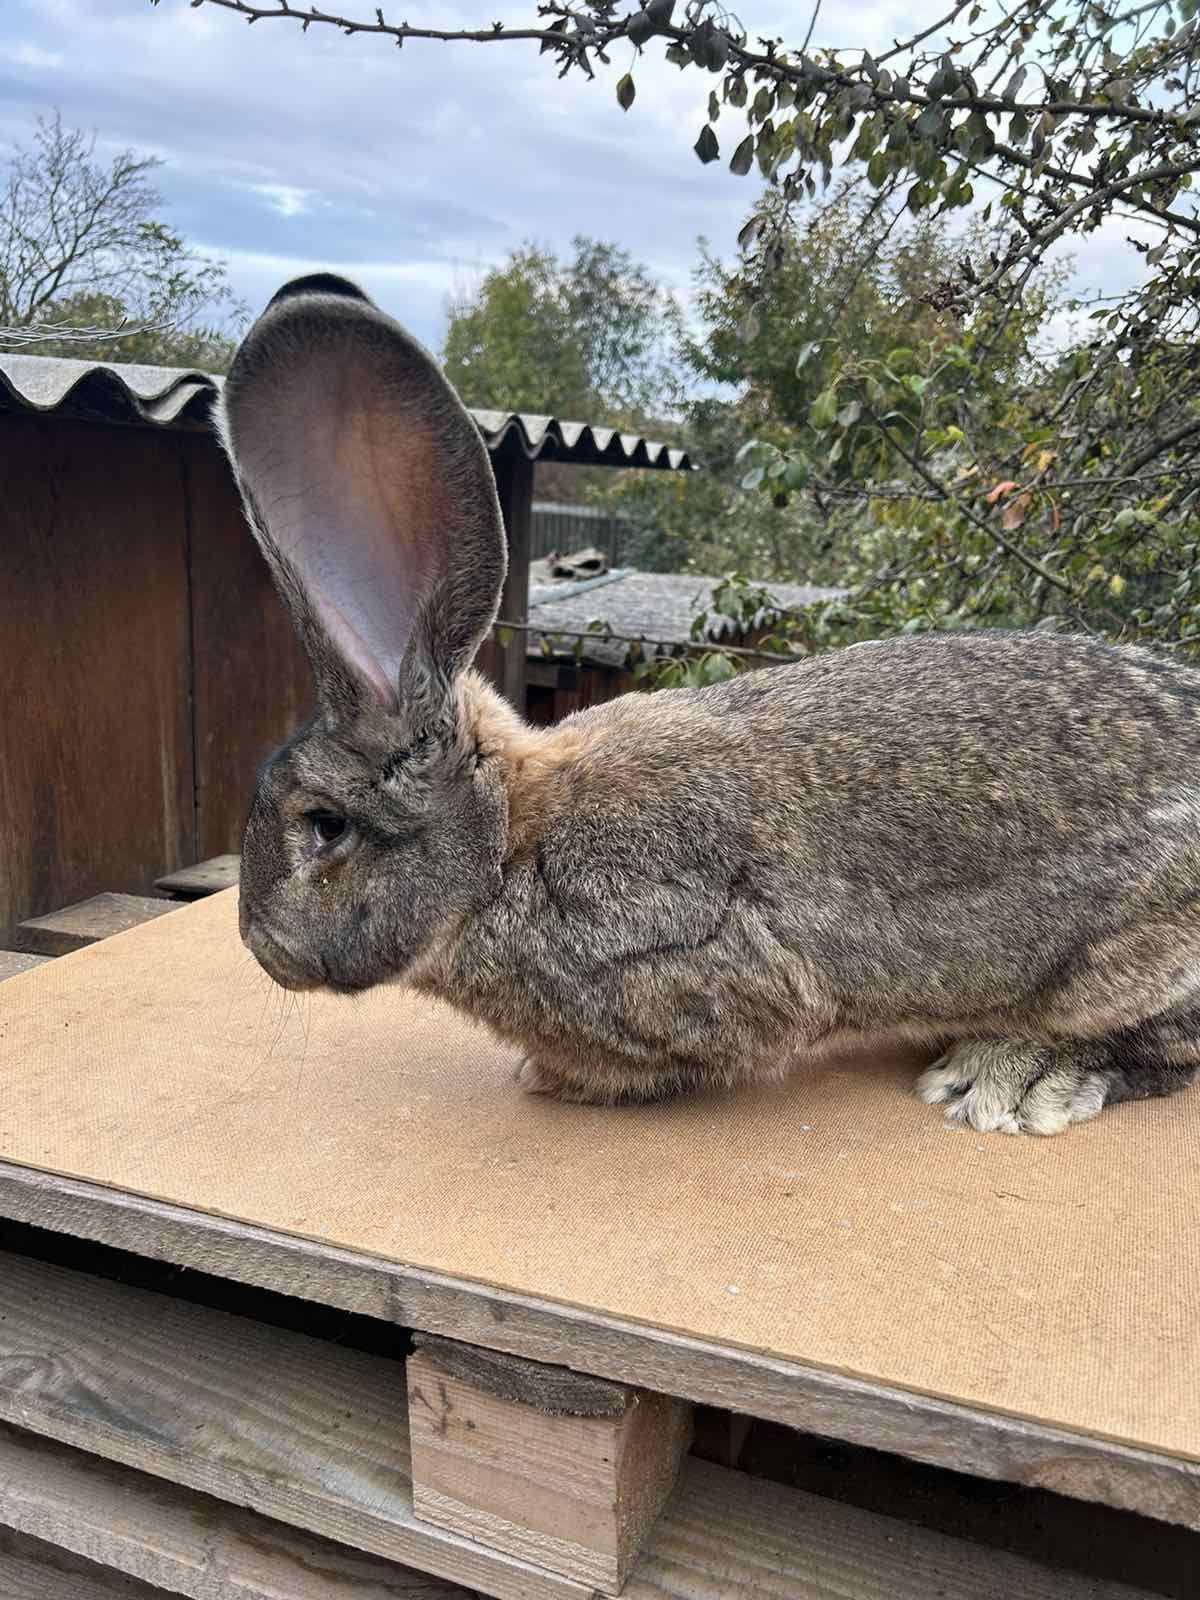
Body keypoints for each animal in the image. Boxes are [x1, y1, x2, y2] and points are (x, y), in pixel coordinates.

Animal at [216, 272, 1200, 1139]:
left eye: (324, 826)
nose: (262, 948)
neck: (506, 847)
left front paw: (562, 1082)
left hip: (1126, 962)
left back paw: (1016, 1075)